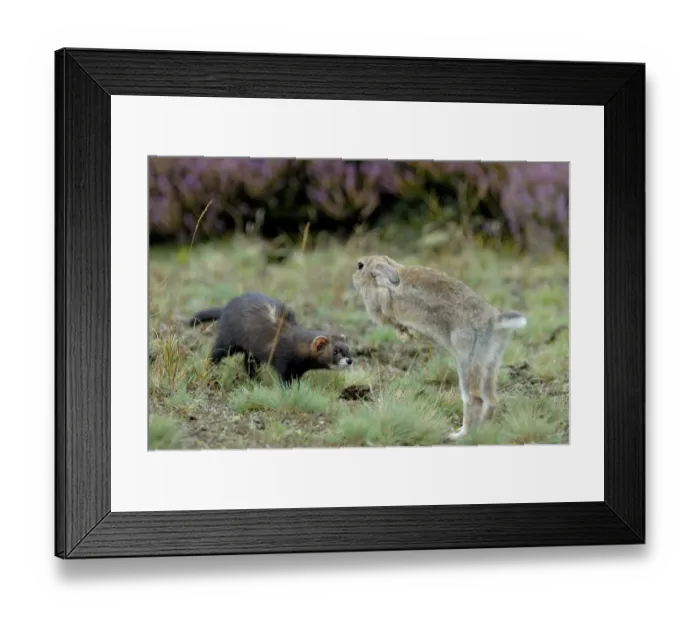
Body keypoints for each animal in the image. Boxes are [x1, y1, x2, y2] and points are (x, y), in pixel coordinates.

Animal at [352, 255, 527, 441]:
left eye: (360, 266)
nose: (353, 278)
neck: (378, 281)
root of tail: (495, 321)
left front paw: (405, 333)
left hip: (468, 358)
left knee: (474, 398)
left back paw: (460, 435)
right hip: (491, 360)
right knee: (491, 398)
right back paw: (481, 431)